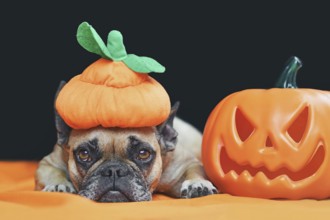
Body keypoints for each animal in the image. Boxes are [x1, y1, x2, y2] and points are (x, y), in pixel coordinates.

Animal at [34, 81, 218, 202]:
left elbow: (194, 171)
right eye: (84, 154)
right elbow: (52, 173)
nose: (114, 170)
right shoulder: (48, 163)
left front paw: (197, 184)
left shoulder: (184, 164)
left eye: (143, 154)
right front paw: (59, 185)